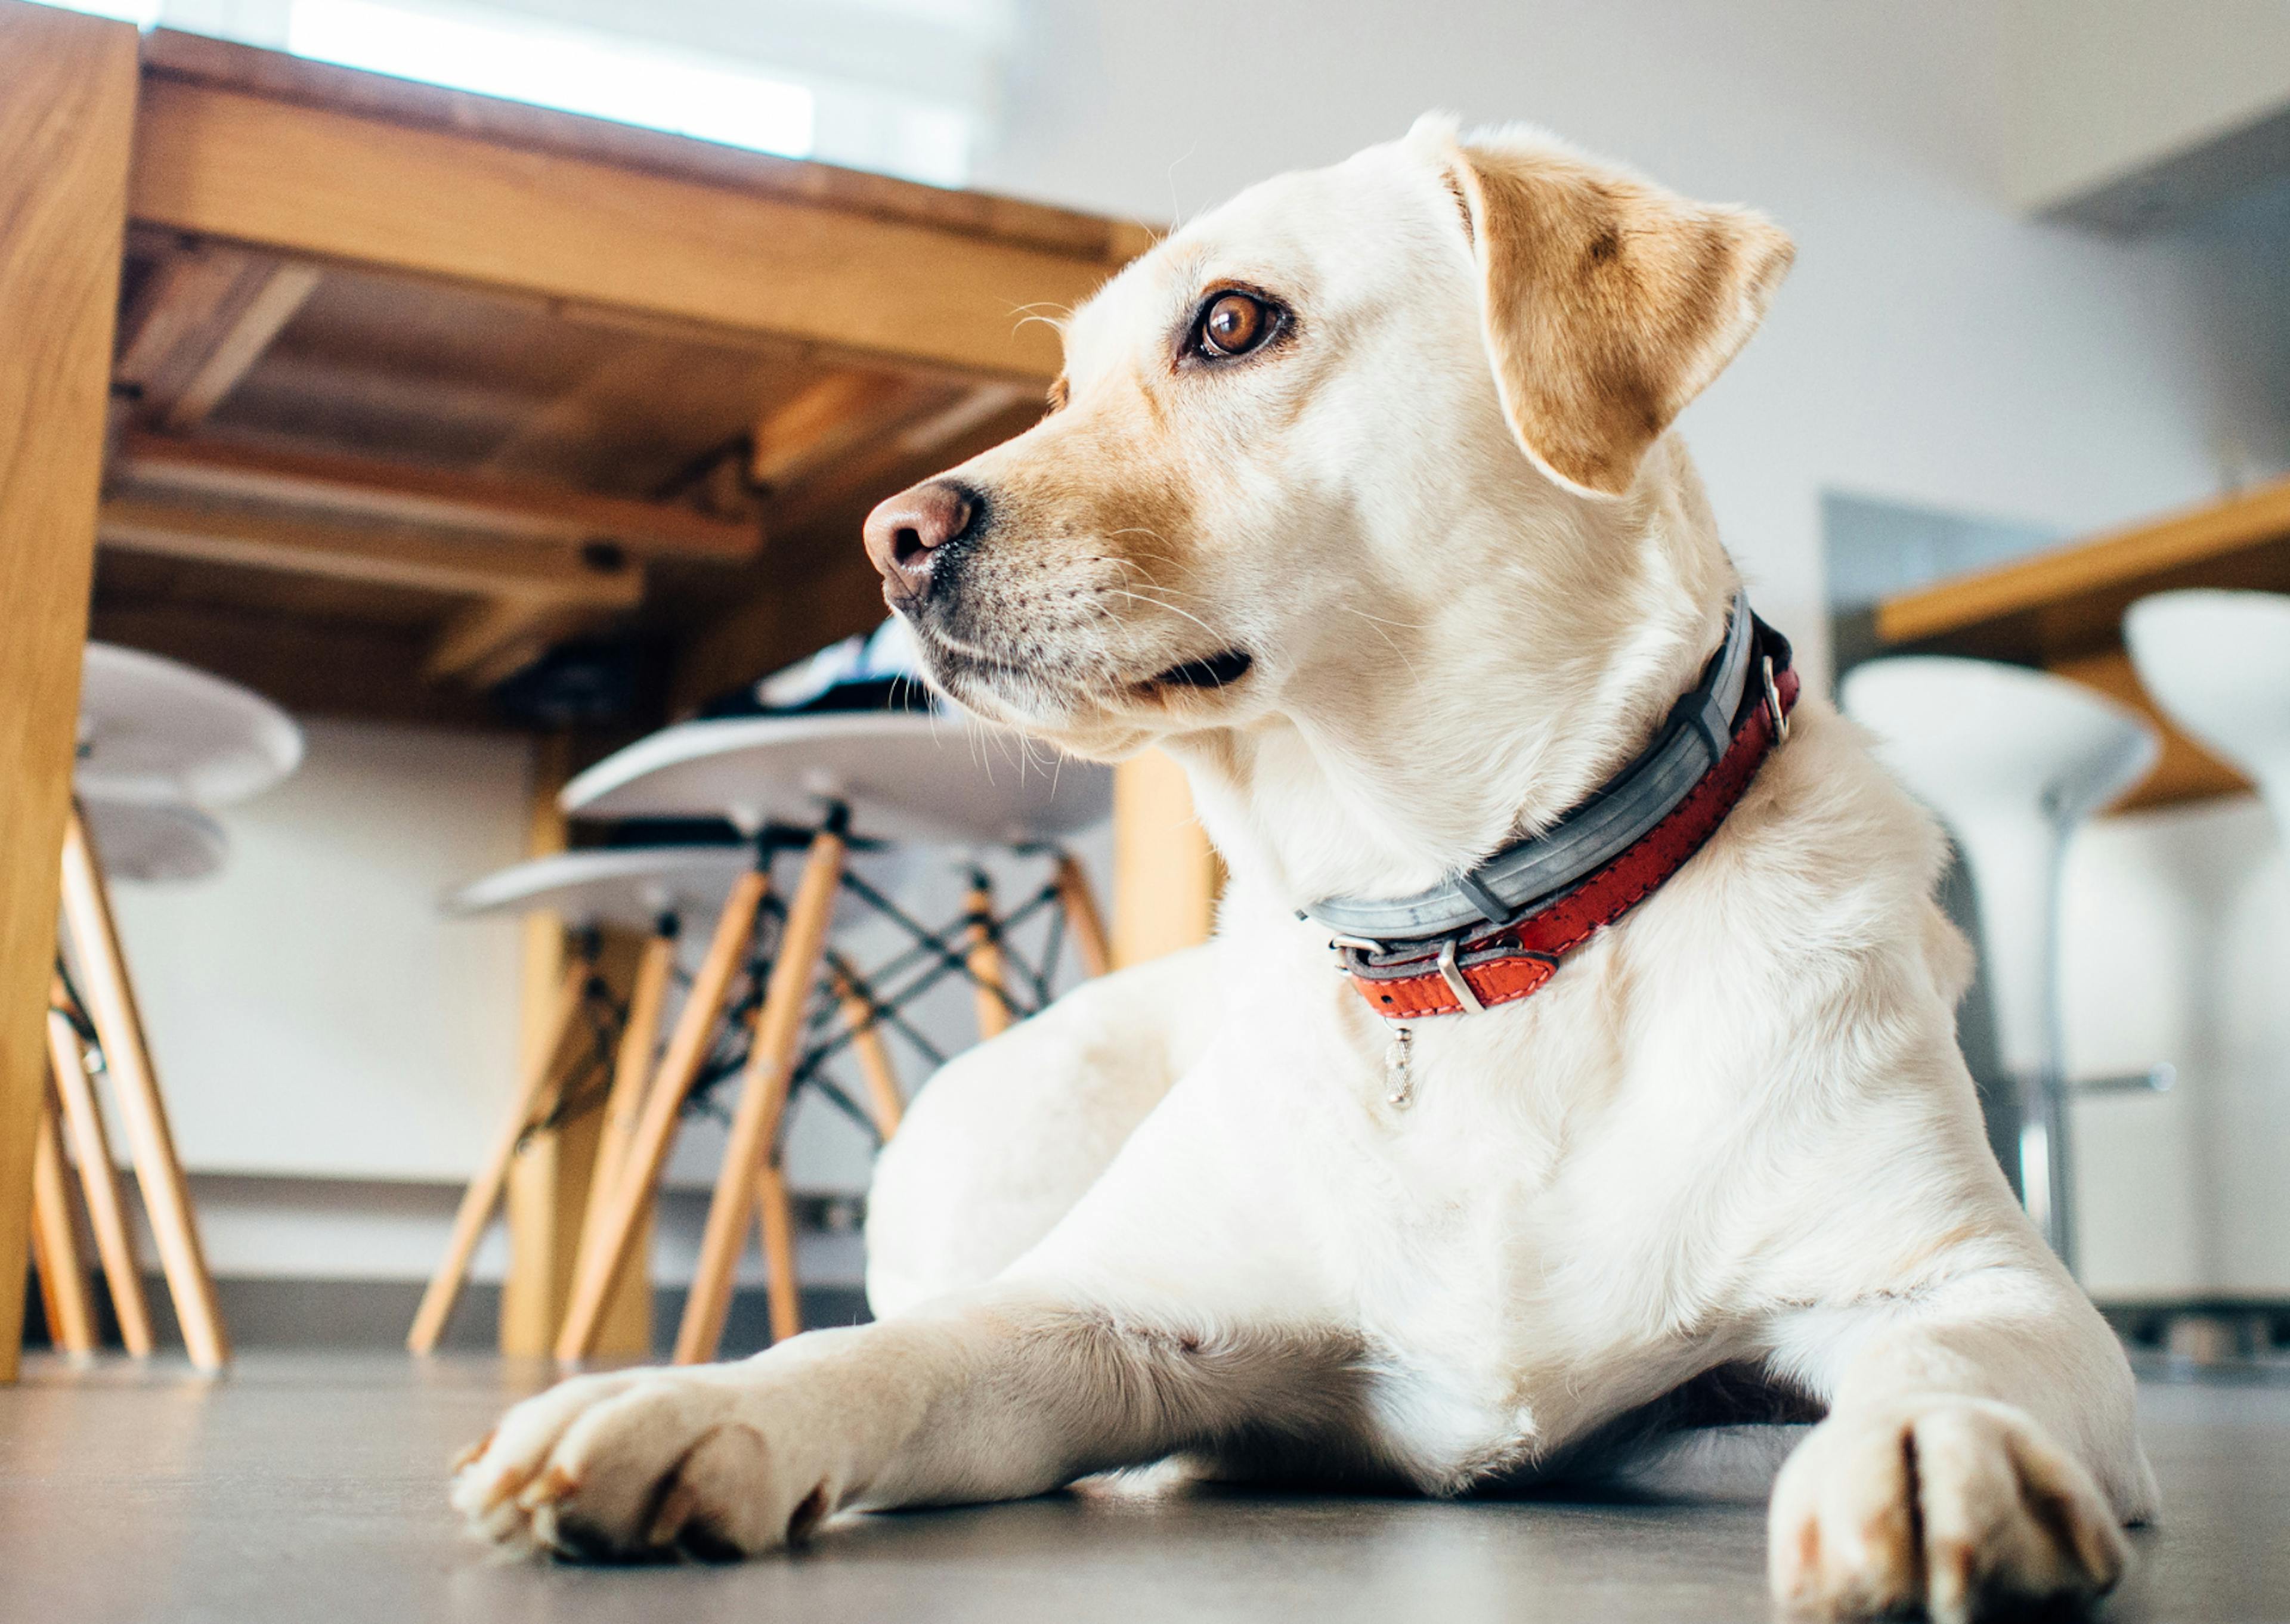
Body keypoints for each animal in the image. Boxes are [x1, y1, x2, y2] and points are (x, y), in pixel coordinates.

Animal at [456, 117, 2152, 1622]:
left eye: (1231, 321)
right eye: (1062, 387)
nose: (890, 538)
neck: (1469, 940)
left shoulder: (1977, 1283)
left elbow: (1948, 1354)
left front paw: (1930, 1451)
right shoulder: (1085, 1318)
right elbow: (889, 1355)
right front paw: (689, 1408)